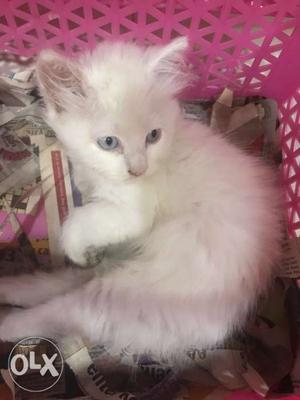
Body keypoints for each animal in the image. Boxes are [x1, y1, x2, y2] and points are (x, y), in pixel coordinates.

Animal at [0, 38, 282, 360]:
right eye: (109, 142)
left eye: (153, 136)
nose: (138, 169)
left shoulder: (132, 214)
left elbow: (80, 220)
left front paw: (74, 248)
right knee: (65, 282)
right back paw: (10, 288)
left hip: (124, 295)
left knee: (62, 309)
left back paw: (7, 322)